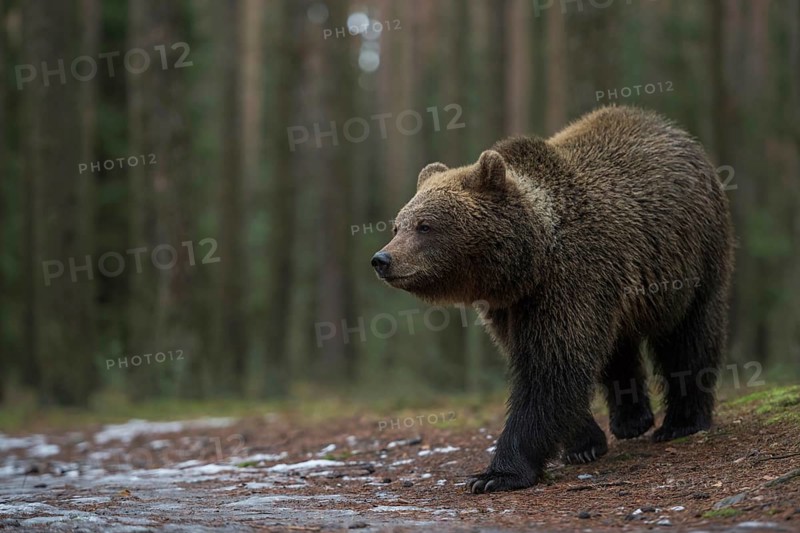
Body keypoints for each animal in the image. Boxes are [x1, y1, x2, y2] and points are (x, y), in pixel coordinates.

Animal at [371, 105, 734, 493]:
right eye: (398, 225)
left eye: (425, 225)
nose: (382, 259)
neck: (531, 261)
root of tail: (673, 130)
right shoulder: (509, 306)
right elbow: (554, 364)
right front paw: (584, 443)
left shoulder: (570, 279)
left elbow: (551, 368)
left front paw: (495, 474)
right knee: (617, 344)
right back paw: (631, 419)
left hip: (693, 255)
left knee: (690, 335)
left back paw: (682, 421)